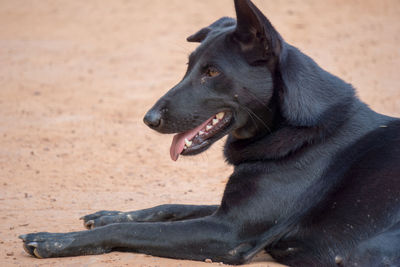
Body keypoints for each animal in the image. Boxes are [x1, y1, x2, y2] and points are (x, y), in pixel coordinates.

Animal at [19, 1, 400, 266]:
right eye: (188, 67)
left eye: (212, 72)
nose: (148, 119)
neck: (296, 128)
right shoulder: (225, 212)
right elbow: (168, 207)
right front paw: (107, 215)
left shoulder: (228, 232)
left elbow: (132, 229)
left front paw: (55, 240)